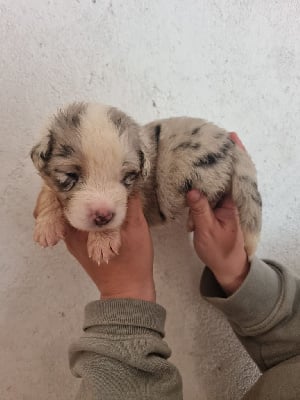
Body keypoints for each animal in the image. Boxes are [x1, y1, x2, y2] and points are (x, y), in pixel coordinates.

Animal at [29, 103, 260, 264]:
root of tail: (228, 141)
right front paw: (47, 227)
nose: (103, 216)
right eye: (70, 175)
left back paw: (192, 221)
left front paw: (103, 241)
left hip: (201, 174)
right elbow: (48, 192)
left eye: (127, 177)